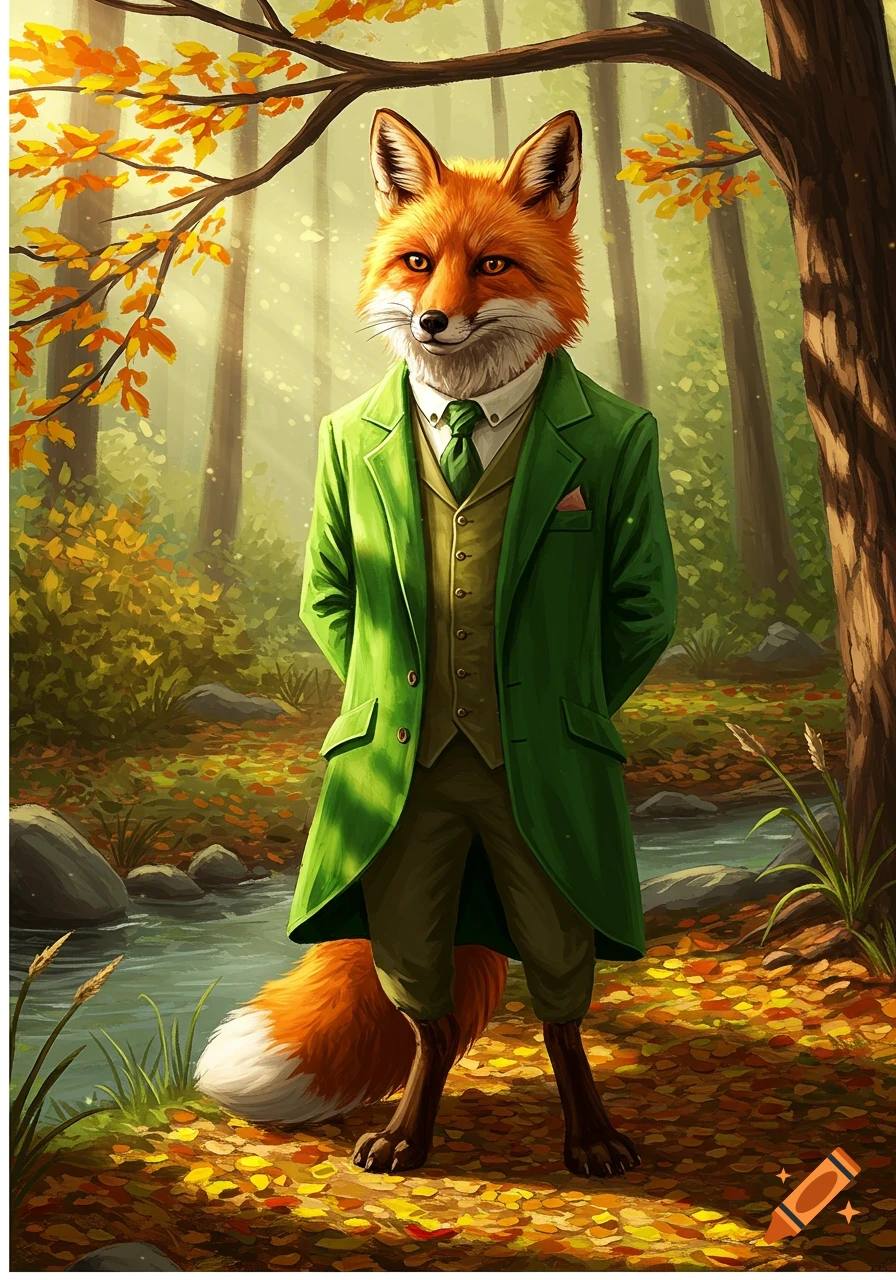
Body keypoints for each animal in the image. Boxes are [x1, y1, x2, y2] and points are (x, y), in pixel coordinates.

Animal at [196, 108, 666, 1181]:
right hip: (412, 858)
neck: (461, 414)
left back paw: (584, 1134)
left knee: (551, 994)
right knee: (430, 1012)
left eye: (492, 264)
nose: (432, 325)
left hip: (535, 860)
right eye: (418, 262)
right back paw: (407, 1132)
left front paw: (591, 1134)